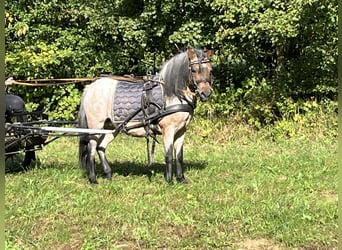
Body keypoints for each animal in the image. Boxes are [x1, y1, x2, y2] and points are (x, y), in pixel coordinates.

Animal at [78, 47, 212, 184]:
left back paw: (108, 174)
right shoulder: (168, 130)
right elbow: (169, 155)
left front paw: (181, 179)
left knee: (101, 147)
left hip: (111, 128)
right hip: (96, 126)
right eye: (194, 70)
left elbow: (179, 156)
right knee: (91, 149)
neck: (172, 94)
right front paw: (169, 181)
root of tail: (90, 87)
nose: (206, 93)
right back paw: (93, 180)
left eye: (210, 70)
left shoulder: (181, 130)